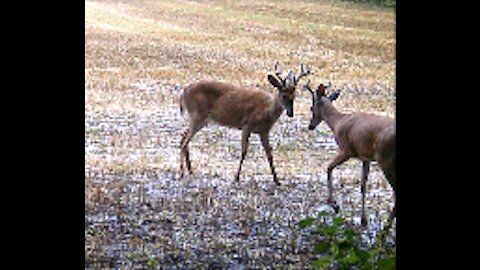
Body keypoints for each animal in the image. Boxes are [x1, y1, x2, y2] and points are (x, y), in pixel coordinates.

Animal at [179, 63, 312, 186]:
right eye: (284, 96)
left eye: (294, 96)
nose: (291, 113)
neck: (266, 112)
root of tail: (184, 91)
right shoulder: (246, 125)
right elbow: (244, 152)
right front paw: (236, 178)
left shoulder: (264, 131)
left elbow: (269, 153)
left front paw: (277, 180)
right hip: (197, 115)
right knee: (185, 141)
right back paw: (182, 173)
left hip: (200, 119)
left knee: (183, 136)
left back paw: (190, 170)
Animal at [306, 80, 396, 234]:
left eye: (312, 107)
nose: (310, 126)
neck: (338, 122)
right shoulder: (366, 158)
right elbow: (363, 186)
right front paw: (363, 220)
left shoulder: (346, 150)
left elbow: (329, 168)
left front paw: (334, 205)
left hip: (386, 160)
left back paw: (385, 228)